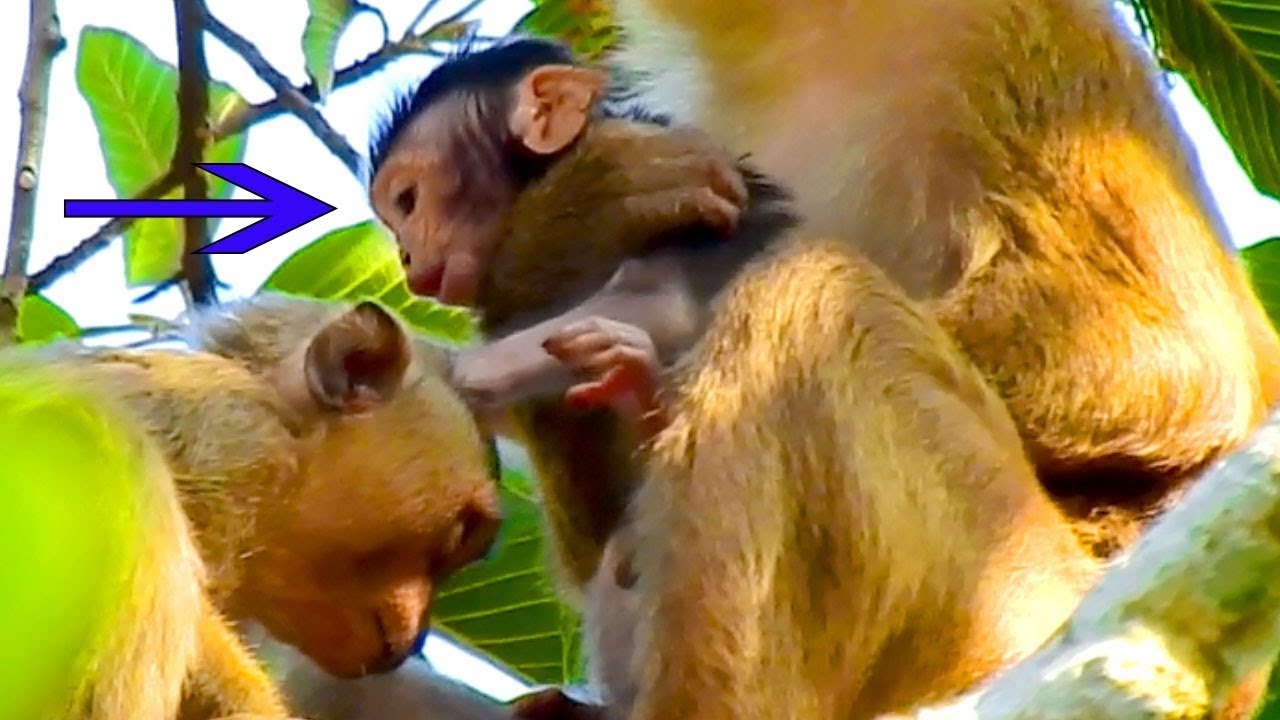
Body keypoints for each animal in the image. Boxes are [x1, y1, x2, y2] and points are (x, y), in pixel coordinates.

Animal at [367, 40, 1109, 720]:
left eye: (408, 199)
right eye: (397, 214)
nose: (403, 254)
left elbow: (658, 302)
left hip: (986, 588)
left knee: (805, 295)